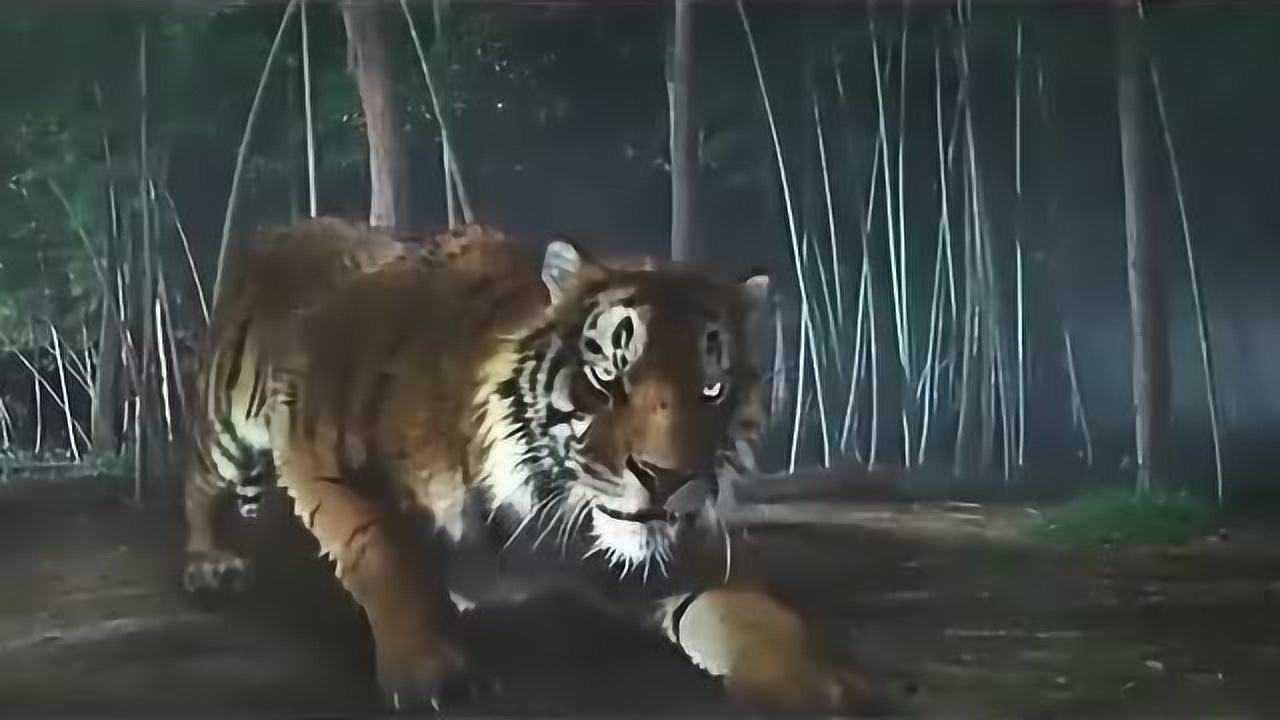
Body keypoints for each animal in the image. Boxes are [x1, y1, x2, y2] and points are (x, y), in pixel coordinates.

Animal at [181, 217, 877, 714]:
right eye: (609, 376)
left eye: (712, 389)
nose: (667, 479)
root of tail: (283, 229)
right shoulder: (324, 454)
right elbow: (384, 553)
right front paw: (431, 669)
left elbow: (757, 615)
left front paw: (823, 682)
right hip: (228, 425)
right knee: (198, 481)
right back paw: (211, 562)